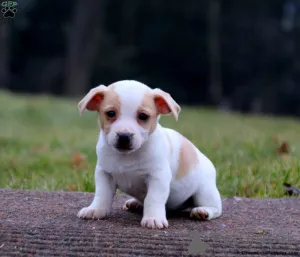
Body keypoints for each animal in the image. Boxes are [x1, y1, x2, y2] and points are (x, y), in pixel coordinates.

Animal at [77, 80, 223, 228]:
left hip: (204, 191)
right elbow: (102, 195)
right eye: (111, 113)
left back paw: (202, 211)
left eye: (143, 116)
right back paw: (134, 203)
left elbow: (153, 198)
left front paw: (153, 218)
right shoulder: (104, 174)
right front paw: (95, 210)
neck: (127, 156)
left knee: (216, 208)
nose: (124, 136)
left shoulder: (158, 177)